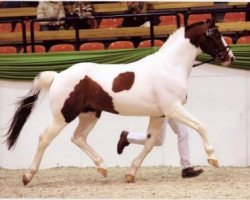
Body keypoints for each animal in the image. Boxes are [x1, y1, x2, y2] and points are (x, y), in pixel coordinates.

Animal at [5, 18, 234, 184]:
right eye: (216, 35)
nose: (229, 57)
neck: (169, 67)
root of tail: (58, 76)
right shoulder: (173, 109)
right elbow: (200, 126)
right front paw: (213, 159)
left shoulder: (159, 115)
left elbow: (150, 142)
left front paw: (131, 173)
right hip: (63, 116)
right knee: (45, 138)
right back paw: (27, 176)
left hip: (89, 115)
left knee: (78, 138)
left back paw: (102, 168)